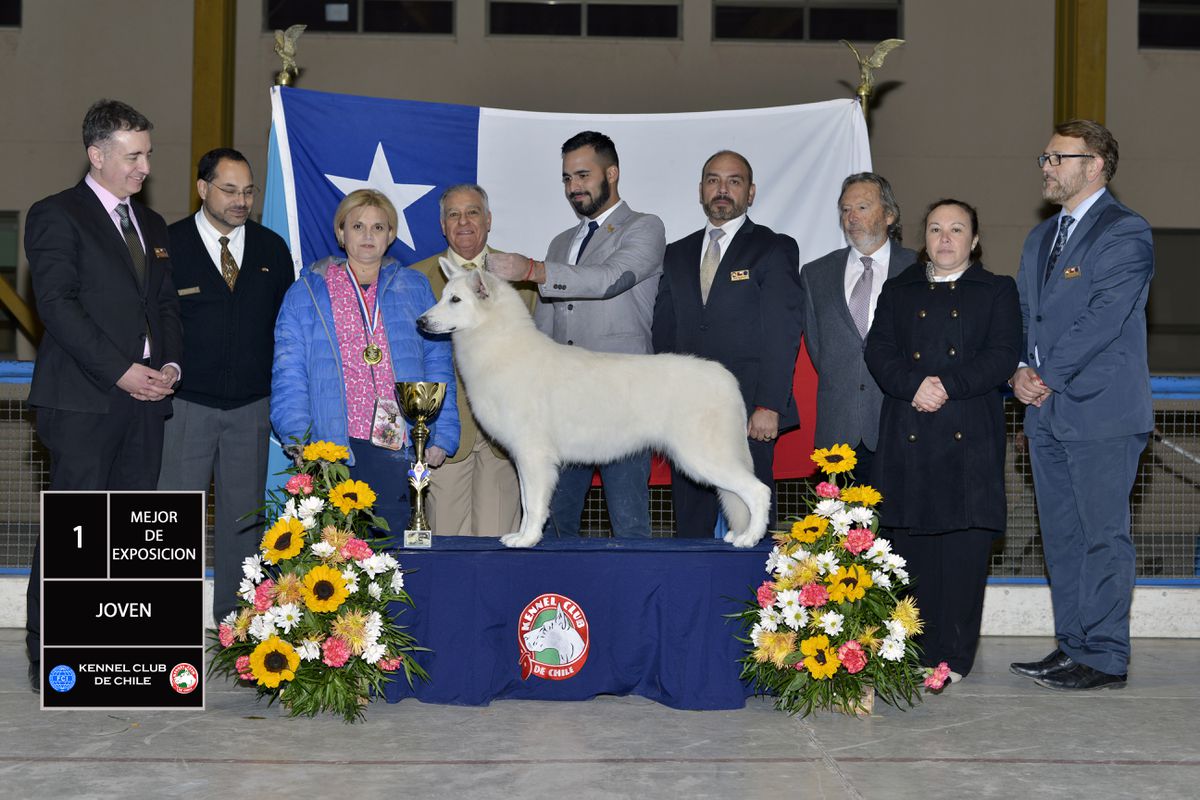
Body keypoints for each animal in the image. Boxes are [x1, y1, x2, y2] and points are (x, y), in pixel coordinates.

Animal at [417, 260, 772, 554]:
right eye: (443, 296)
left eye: (455, 300)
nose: (420, 321)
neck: (499, 345)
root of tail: (726, 378)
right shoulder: (524, 459)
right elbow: (527, 503)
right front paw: (522, 535)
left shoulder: (533, 456)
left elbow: (533, 504)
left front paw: (528, 539)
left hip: (702, 457)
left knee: (758, 491)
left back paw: (749, 538)